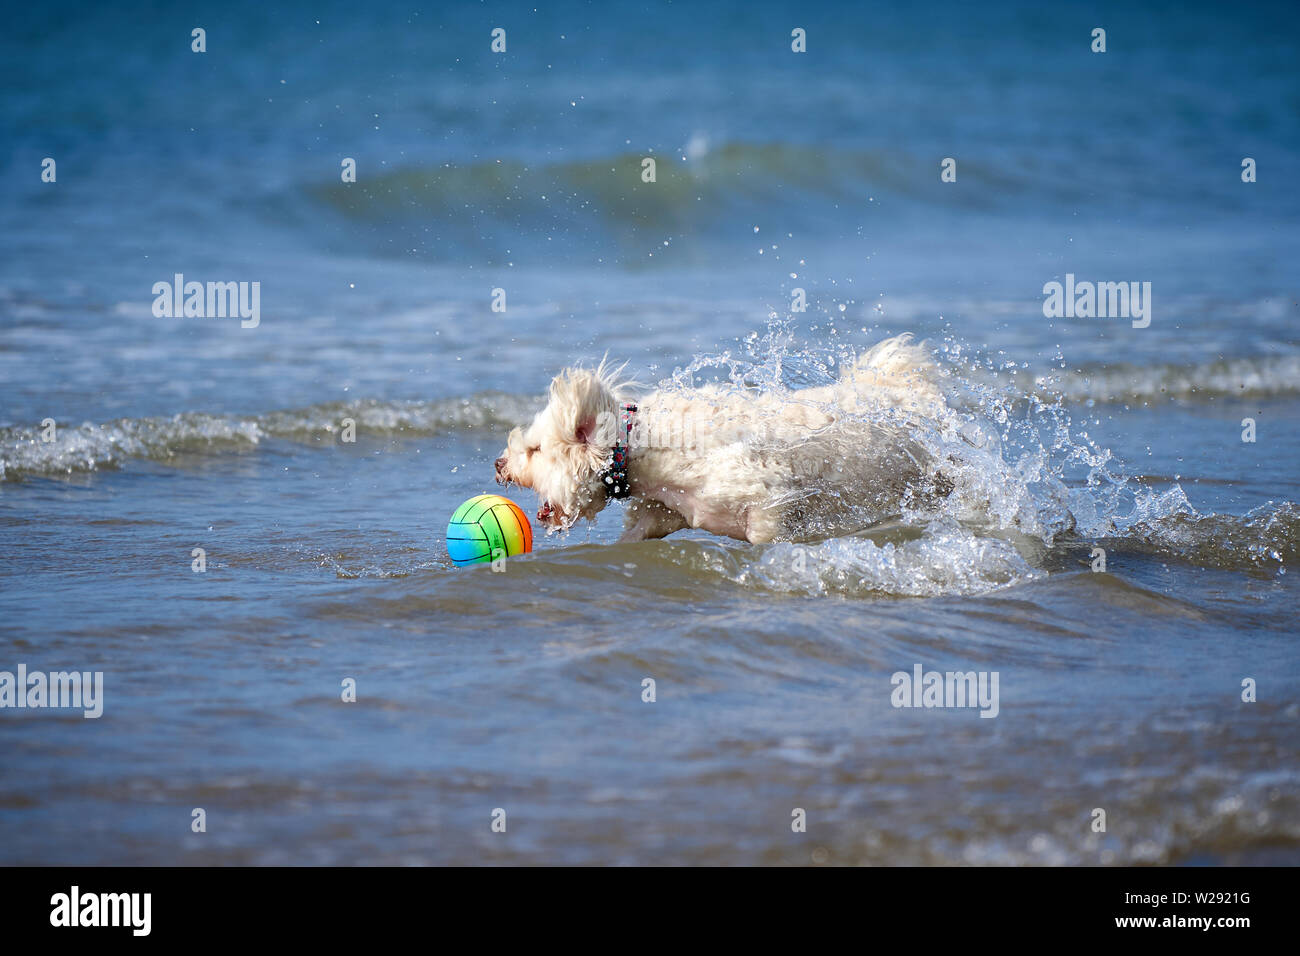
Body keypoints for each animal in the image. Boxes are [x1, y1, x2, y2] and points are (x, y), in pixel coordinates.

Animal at [496, 335, 956, 546]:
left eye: (535, 450)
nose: (499, 465)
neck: (644, 449)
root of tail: (905, 396)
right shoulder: (661, 512)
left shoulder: (771, 501)